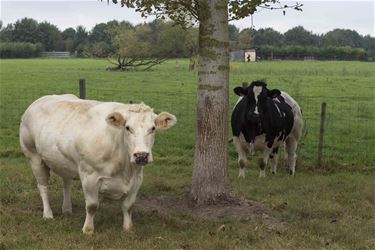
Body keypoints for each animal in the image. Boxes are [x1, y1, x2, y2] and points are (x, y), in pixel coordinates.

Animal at [18, 94, 176, 234]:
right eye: (127, 127)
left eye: (153, 128)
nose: (141, 155)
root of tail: (40, 100)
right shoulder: (89, 176)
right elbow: (92, 206)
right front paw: (88, 230)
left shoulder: (137, 178)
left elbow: (128, 206)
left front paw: (128, 228)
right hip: (34, 156)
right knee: (43, 187)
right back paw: (48, 214)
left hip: (65, 163)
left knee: (66, 183)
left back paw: (67, 209)